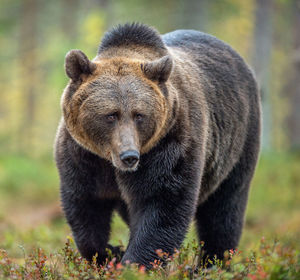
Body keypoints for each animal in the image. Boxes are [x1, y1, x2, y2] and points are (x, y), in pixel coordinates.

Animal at [55, 23, 260, 268]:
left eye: (139, 115)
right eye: (111, 115)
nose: (129, 156)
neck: (110, 162)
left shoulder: (169, 143)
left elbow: (162, 205)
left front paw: (134, 264)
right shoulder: (83, 155)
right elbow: (87, 207)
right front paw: (110, 253)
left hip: (239, 141)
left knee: (224, 209)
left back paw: (211, 263)